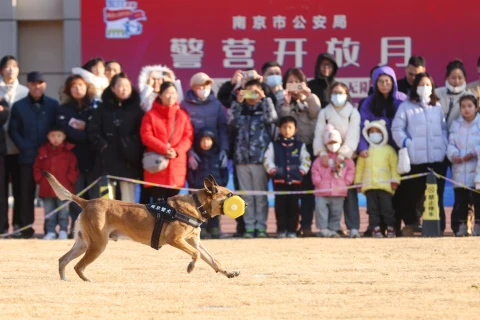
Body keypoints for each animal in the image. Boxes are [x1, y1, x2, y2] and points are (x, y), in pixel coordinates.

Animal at [44, 172, 240, 280]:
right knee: (78, 266)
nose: (243, 203)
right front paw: (190, 267)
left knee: (63, 260)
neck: (197, 204)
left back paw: (65, 281)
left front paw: (228, 272)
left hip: (83, 243)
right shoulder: (176, 239)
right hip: (98, 245)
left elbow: (213, 260)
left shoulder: (195, 242)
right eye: (229, 194)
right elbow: (197, 255)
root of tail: (87, 202)